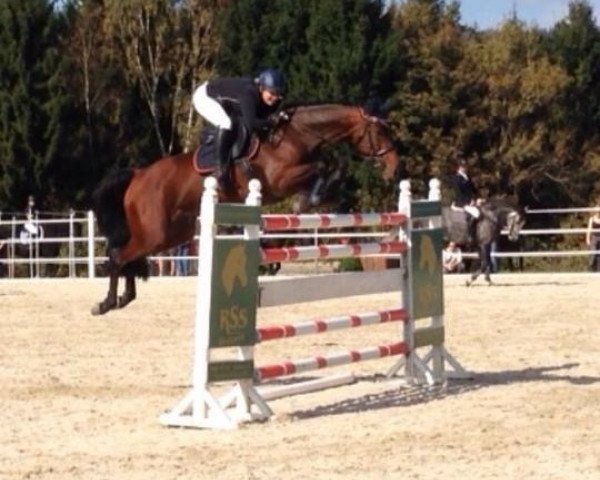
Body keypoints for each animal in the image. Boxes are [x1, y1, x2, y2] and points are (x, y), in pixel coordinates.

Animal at [91, 102, 398, 316]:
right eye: (379, 131)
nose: (393, 166)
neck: (298, 134)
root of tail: (138, 176)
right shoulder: (280, 179)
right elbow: (324, 166)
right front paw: (309, 199)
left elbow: (332, 166)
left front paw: (325, 194)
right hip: (154, 234)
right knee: (118, 256)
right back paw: (106, 303)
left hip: (171, 235)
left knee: (127, 257)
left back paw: (123, 298)